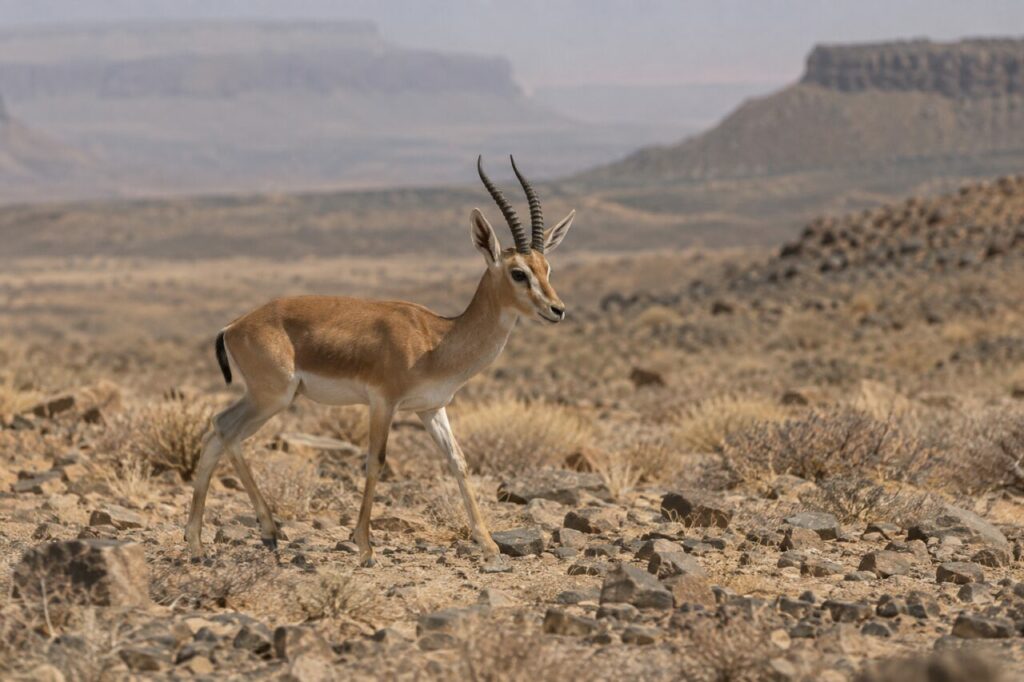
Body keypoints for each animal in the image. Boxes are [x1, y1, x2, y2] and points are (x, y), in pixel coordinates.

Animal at [185, 156, 576, 566]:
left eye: (547, 269)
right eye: (519, 273)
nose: (557, 309)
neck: (436, 339)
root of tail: (234, 325)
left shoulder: (430, 408)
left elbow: (458, 460)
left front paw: (488, 543)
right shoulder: (383, 403)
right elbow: (376, 461)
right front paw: (365, 546)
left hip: (269, 399)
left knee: (217, 430)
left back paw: (202, 543)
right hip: (272, 397)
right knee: (227, 431)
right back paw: (261, 533)